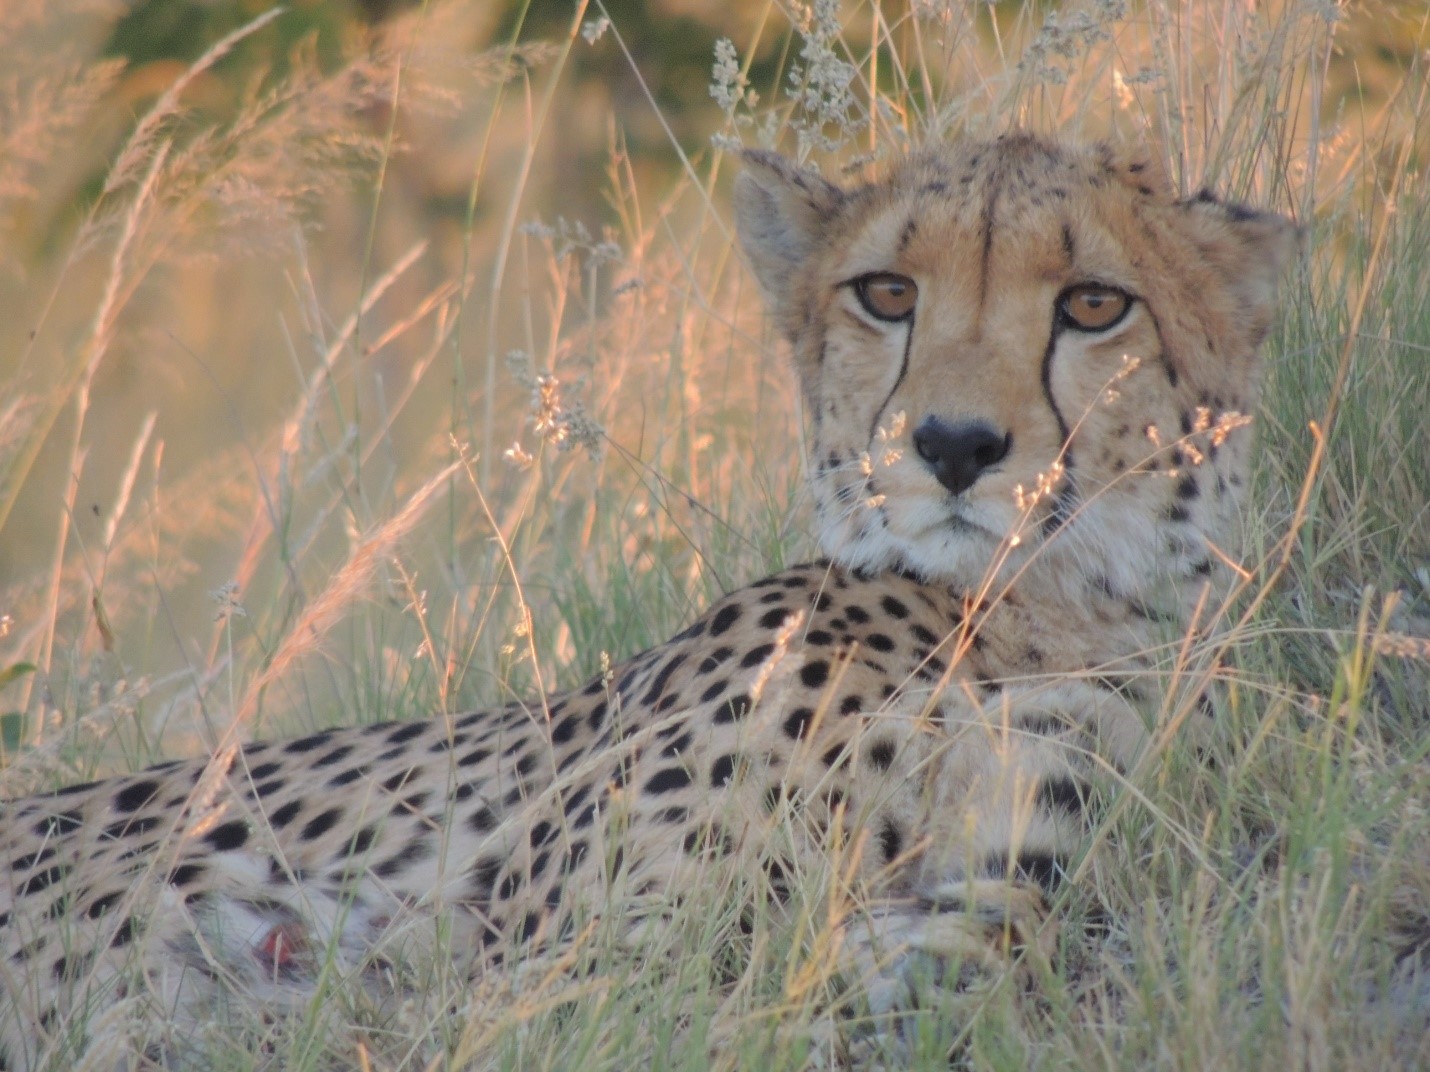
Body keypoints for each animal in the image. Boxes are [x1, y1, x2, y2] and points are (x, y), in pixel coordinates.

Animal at [0, 136, 1298, 1072]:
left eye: (1093, 306)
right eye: (886, 293)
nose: (952, 444)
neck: (1030, 614)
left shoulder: (1036, 848)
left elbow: (959, 940)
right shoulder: (555, 980)